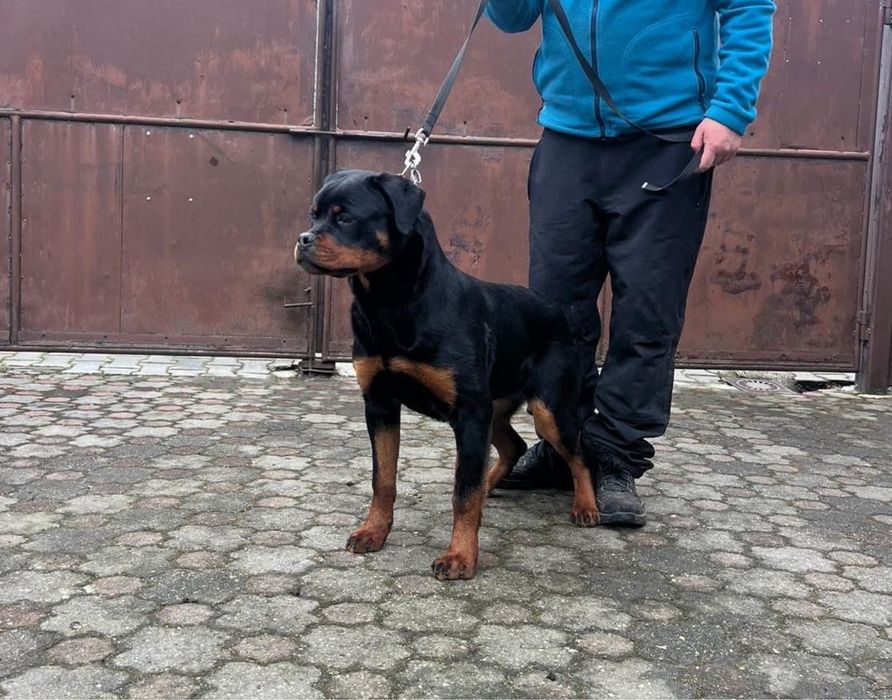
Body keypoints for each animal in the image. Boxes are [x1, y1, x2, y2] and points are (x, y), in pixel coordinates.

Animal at [295, 170, 598, 580]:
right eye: (313, 215)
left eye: (346, 218)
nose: (303, 239)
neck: (390, 301)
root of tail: (557, 311)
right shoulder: (380, 403)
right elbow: (383, 478)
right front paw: (374, 531)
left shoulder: (469, 412)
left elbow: (463, 493)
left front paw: (460, 556)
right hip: (495, 408)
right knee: (513, 446)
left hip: (548, 408)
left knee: (576, 453)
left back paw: (586, 506)